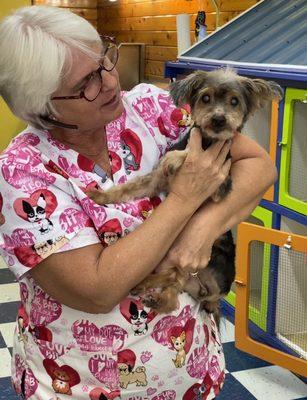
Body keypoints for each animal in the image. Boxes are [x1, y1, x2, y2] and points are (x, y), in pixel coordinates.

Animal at [89, 69, 284, 316]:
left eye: (234, 102)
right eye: (206, 98)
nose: (219, 119)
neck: (208, 141)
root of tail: (208, 291)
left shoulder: (221, 184)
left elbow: (187, 156)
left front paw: (175, 158)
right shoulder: (155, 181)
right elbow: (130, 188)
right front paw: (99, 196)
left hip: (206, 254)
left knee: (173, 286)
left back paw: (153, 291)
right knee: (172, 287)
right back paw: (148, 288)